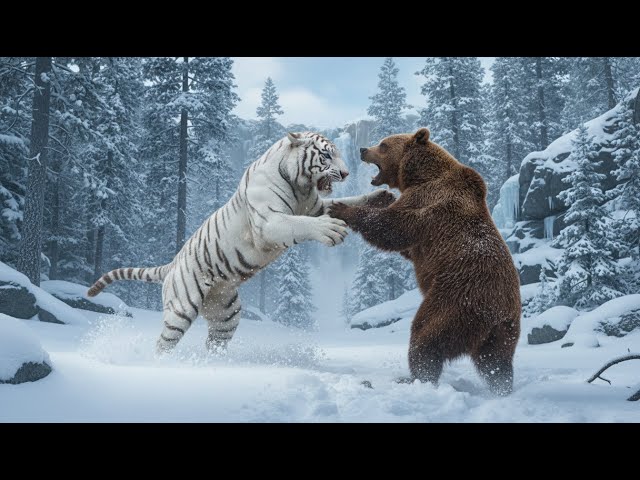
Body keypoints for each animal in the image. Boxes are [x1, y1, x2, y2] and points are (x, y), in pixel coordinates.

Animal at [87, 131, 395, 354]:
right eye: (326, 154)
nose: (345, 174)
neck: (301, 185)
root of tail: (172, 264)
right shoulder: (270, 222)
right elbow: (300, 224)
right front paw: (331, 230)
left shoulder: (317, 206)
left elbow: (349, 202)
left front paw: (381, 197)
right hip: (181, 309)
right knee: (163, 343)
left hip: (226, 313)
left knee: (215, 343)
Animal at [329, 127, 521, 395]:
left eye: (384, 144)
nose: (363, 149)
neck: (420, 175)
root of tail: (498, 312)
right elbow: (406, 245)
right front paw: (383, 196)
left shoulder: (429, 203)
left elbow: (394, 228)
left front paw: (342, 208)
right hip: (503, 332)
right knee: (496, 363)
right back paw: (501, 387)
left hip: (457, 298)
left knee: (426, 334)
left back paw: (415, 378)